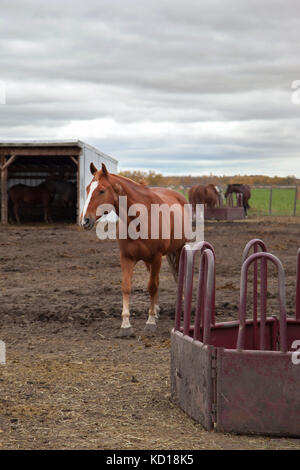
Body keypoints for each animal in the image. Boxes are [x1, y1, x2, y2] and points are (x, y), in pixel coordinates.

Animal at [79, 163, 188, 336]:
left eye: (102, 190)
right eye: (88, 188)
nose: (85, 221)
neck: (140, 219)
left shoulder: (157, 257)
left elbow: (152, 287)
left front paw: (150, 322)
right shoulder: (127, 258)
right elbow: (126, 287)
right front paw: (126, 324)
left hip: (178, 249)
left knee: (177, 276)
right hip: (149, 261)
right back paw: (157, 310)